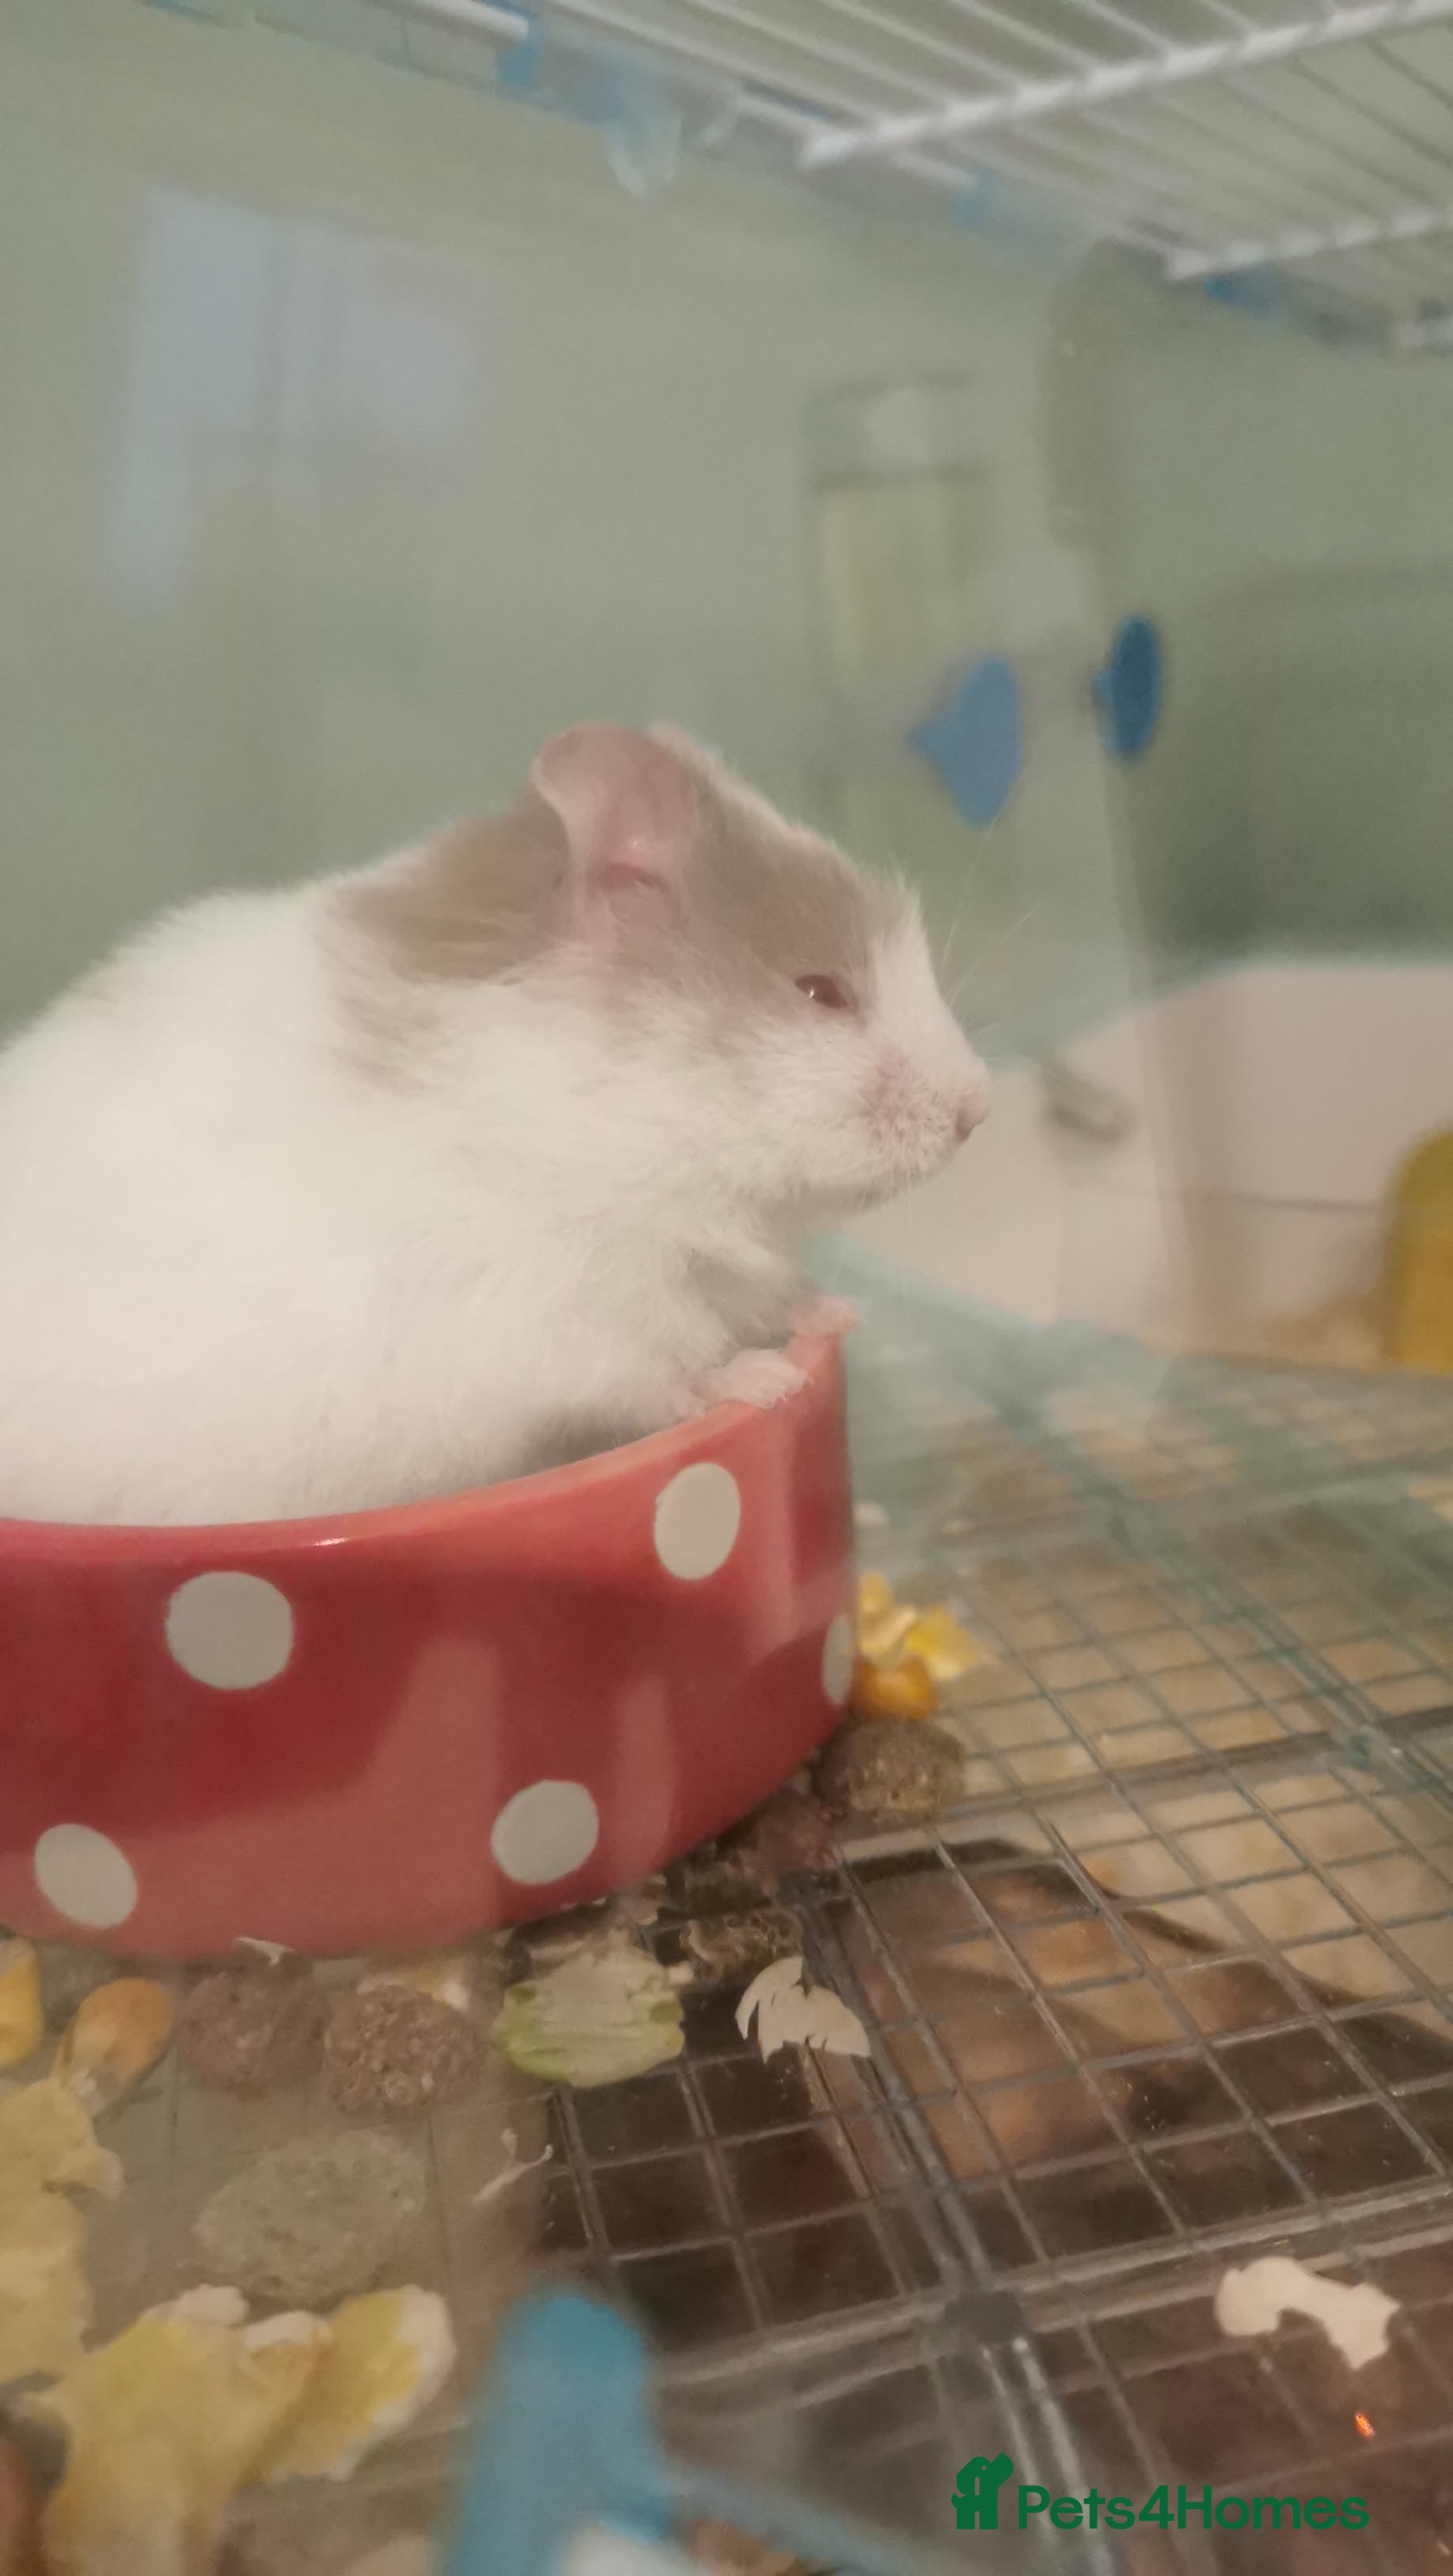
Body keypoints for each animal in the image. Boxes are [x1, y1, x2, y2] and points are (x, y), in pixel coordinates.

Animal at [0, 723, 987, 1524]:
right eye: (823, 992)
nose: (979, 1109)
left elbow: (768, 1296)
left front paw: (834, 1313)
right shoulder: (567, 1313)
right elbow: (660, 1372)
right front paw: (766, 1382)